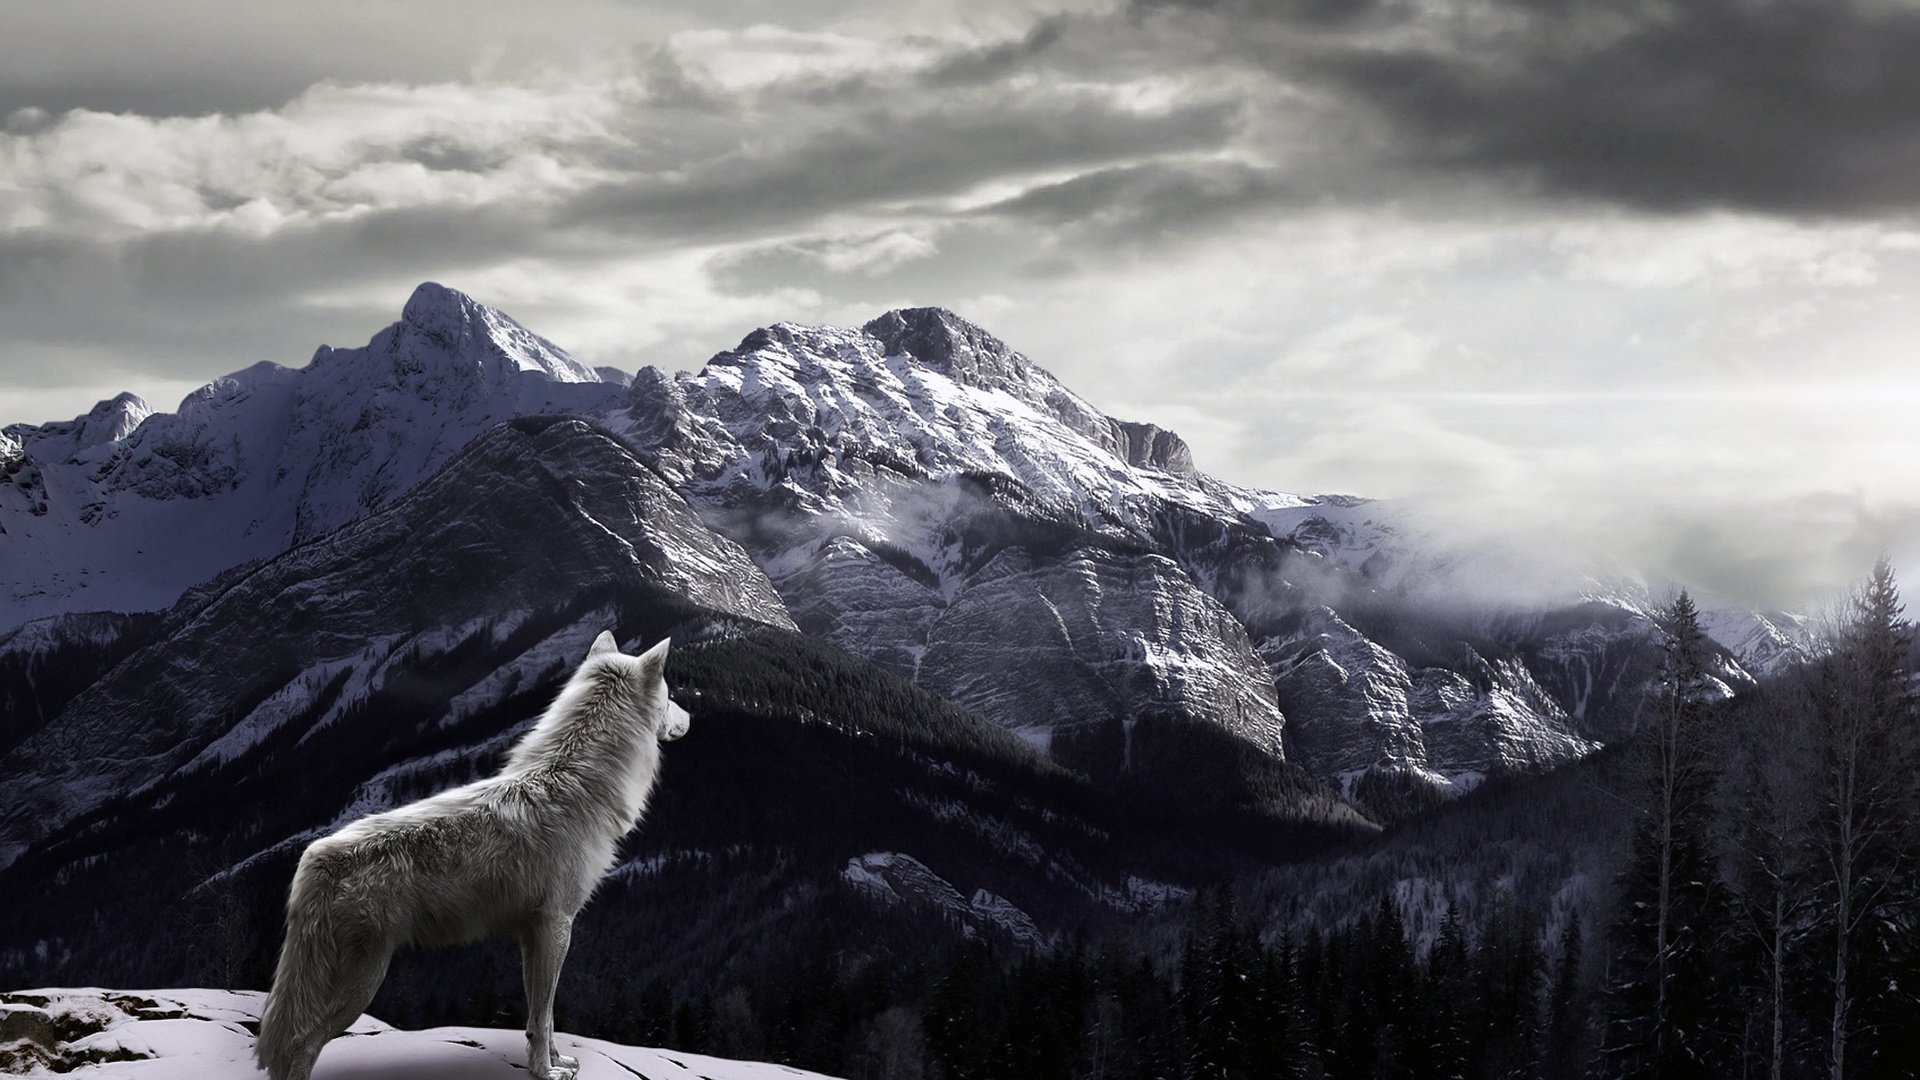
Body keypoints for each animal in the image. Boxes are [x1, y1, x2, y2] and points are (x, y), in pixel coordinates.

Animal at [255, 631, 689, 1080]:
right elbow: (544, 1014)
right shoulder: (557, 924)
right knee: (300, 1045)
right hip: (361, 984)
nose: (690, 716)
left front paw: (556, 1060)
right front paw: (545, 1072)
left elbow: (542, 1016)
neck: (576, 783)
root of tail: (316, 857)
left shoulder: (534, 933)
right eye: (670, 696)